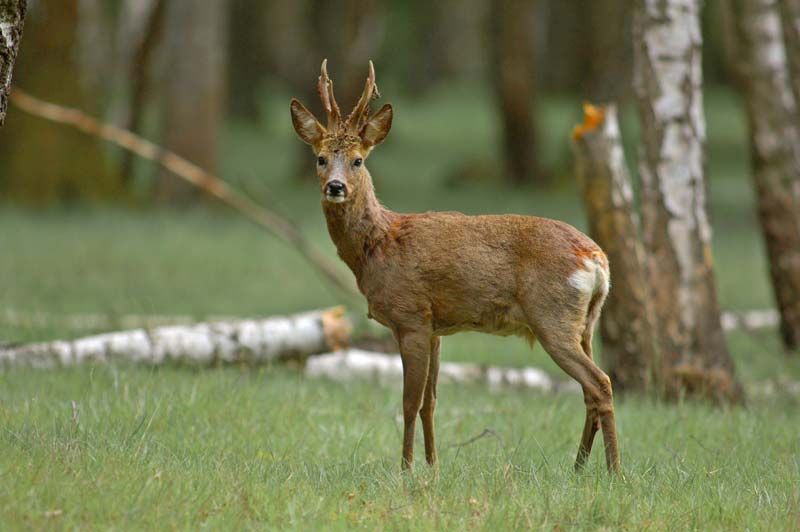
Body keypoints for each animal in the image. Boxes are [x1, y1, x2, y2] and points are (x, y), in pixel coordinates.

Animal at [290, 60, 620, 472]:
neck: (379, 245)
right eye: (320, 158)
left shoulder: (411, 316)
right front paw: (433, 466)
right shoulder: (436, 328)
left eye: (358, 160)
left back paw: (614, 471)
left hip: (552, 318)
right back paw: (578, 468)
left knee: (600, 383)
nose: (335, 187)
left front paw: (406, 469)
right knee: (590, 390)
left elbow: (409, 402)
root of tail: (598, 260)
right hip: (585, 323)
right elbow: (430, 402)